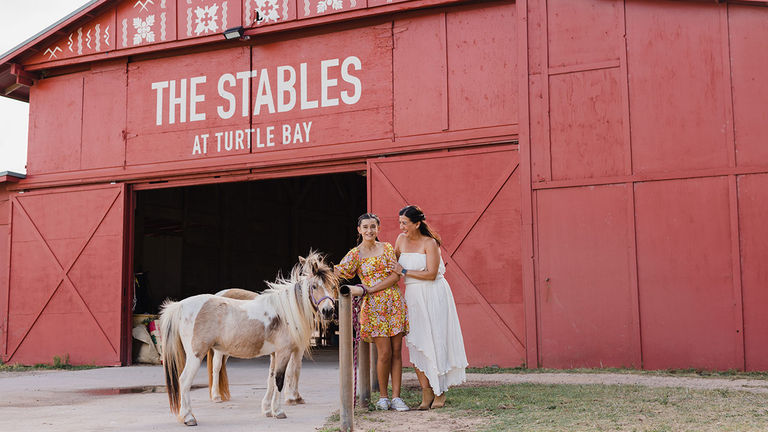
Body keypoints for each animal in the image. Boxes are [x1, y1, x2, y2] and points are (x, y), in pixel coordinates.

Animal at [160, 253, 338, 426]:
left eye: (333, 286)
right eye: (314, 286)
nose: (328, 311)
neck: (285, 313)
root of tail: (180, 306)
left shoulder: (274, 354)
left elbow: (271, 379)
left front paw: (267, 410)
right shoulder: (284, 352)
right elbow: (280, 380)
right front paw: (279, 411)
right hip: (197, 355)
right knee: (185, 381)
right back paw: (189, 417)